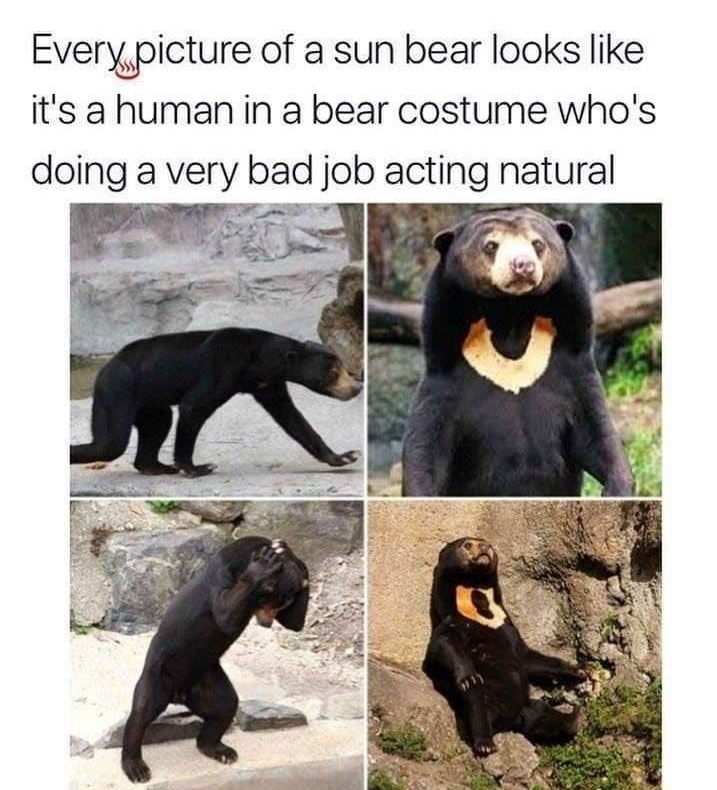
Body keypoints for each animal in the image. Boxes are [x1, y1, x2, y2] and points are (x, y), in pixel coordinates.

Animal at [70, 328, 362, 477]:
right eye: (333, 372)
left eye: (343, 368)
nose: (356, 387)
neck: (260, 360)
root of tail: (106, 367)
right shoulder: (224, 365)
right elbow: (194, 406)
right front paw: (197, 467)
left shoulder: (269, 384)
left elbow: (292, 419)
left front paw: (345, 457)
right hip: (118, 389)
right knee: (110, 442)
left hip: (148, 400)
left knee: (158, 423)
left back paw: (156, 466)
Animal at [121, 536, 310, 783]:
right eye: (265, 597)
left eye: (282, 604)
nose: (266, 623)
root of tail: (179, 695)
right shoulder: (220, 578)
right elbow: (225, 614)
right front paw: (263, 563)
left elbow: (294, 623)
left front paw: (289, 554)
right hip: (160, 674)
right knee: (141, 712)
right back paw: (136, 767)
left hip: (206, 676)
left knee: (225, 706)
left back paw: (220, 750)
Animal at [402, 206, 634, 496]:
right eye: (491, 245)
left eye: (538, 244)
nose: (523, 265)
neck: (511, 312)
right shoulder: (446, 372)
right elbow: (428, 447)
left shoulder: (571, 363)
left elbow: (595, 432)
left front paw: (618, 488)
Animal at [423, 537, 585, 758]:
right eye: (467, 545)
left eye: (487, 544)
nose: (485, 547)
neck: (475, 594)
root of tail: (508, 721)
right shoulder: (454, 621)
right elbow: (443, 645)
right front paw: (468, 676)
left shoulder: (507, 625)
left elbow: (528, 657)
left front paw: (580, 671)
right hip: (487, 698)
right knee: (477, 704)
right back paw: (485, 744)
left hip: (526, 705)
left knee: (542, 713)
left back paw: (575, 718)